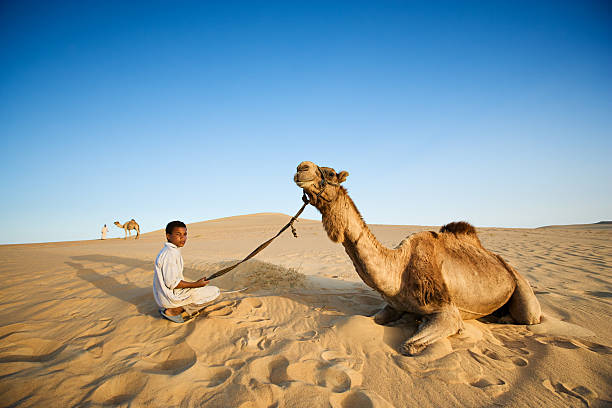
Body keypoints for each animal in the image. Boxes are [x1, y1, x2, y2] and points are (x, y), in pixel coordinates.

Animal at [296, 161, 540, 356]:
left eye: (329, 173)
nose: (301, 167)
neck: (399, 269)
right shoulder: (393, 305)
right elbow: (371, 320)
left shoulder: (447, 311)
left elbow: (409, 345)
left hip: (521, 286)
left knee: (530, 316)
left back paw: (505, 318)